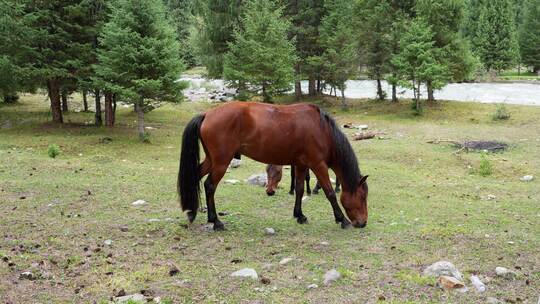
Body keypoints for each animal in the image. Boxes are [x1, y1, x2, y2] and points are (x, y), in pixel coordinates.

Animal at [179, 101, 370, 230]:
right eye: (362, 197)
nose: (363, 223)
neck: (321, 129)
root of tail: (207, 114)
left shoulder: (301, 165)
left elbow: (299, 189)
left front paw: (299, 215)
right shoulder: (318, 165)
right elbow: (329, 193)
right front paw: (342, 220)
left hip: (212, 160)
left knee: (195, 178)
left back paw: (192, 212)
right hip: (221, 162)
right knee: (209, 185)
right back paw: (216, 221)